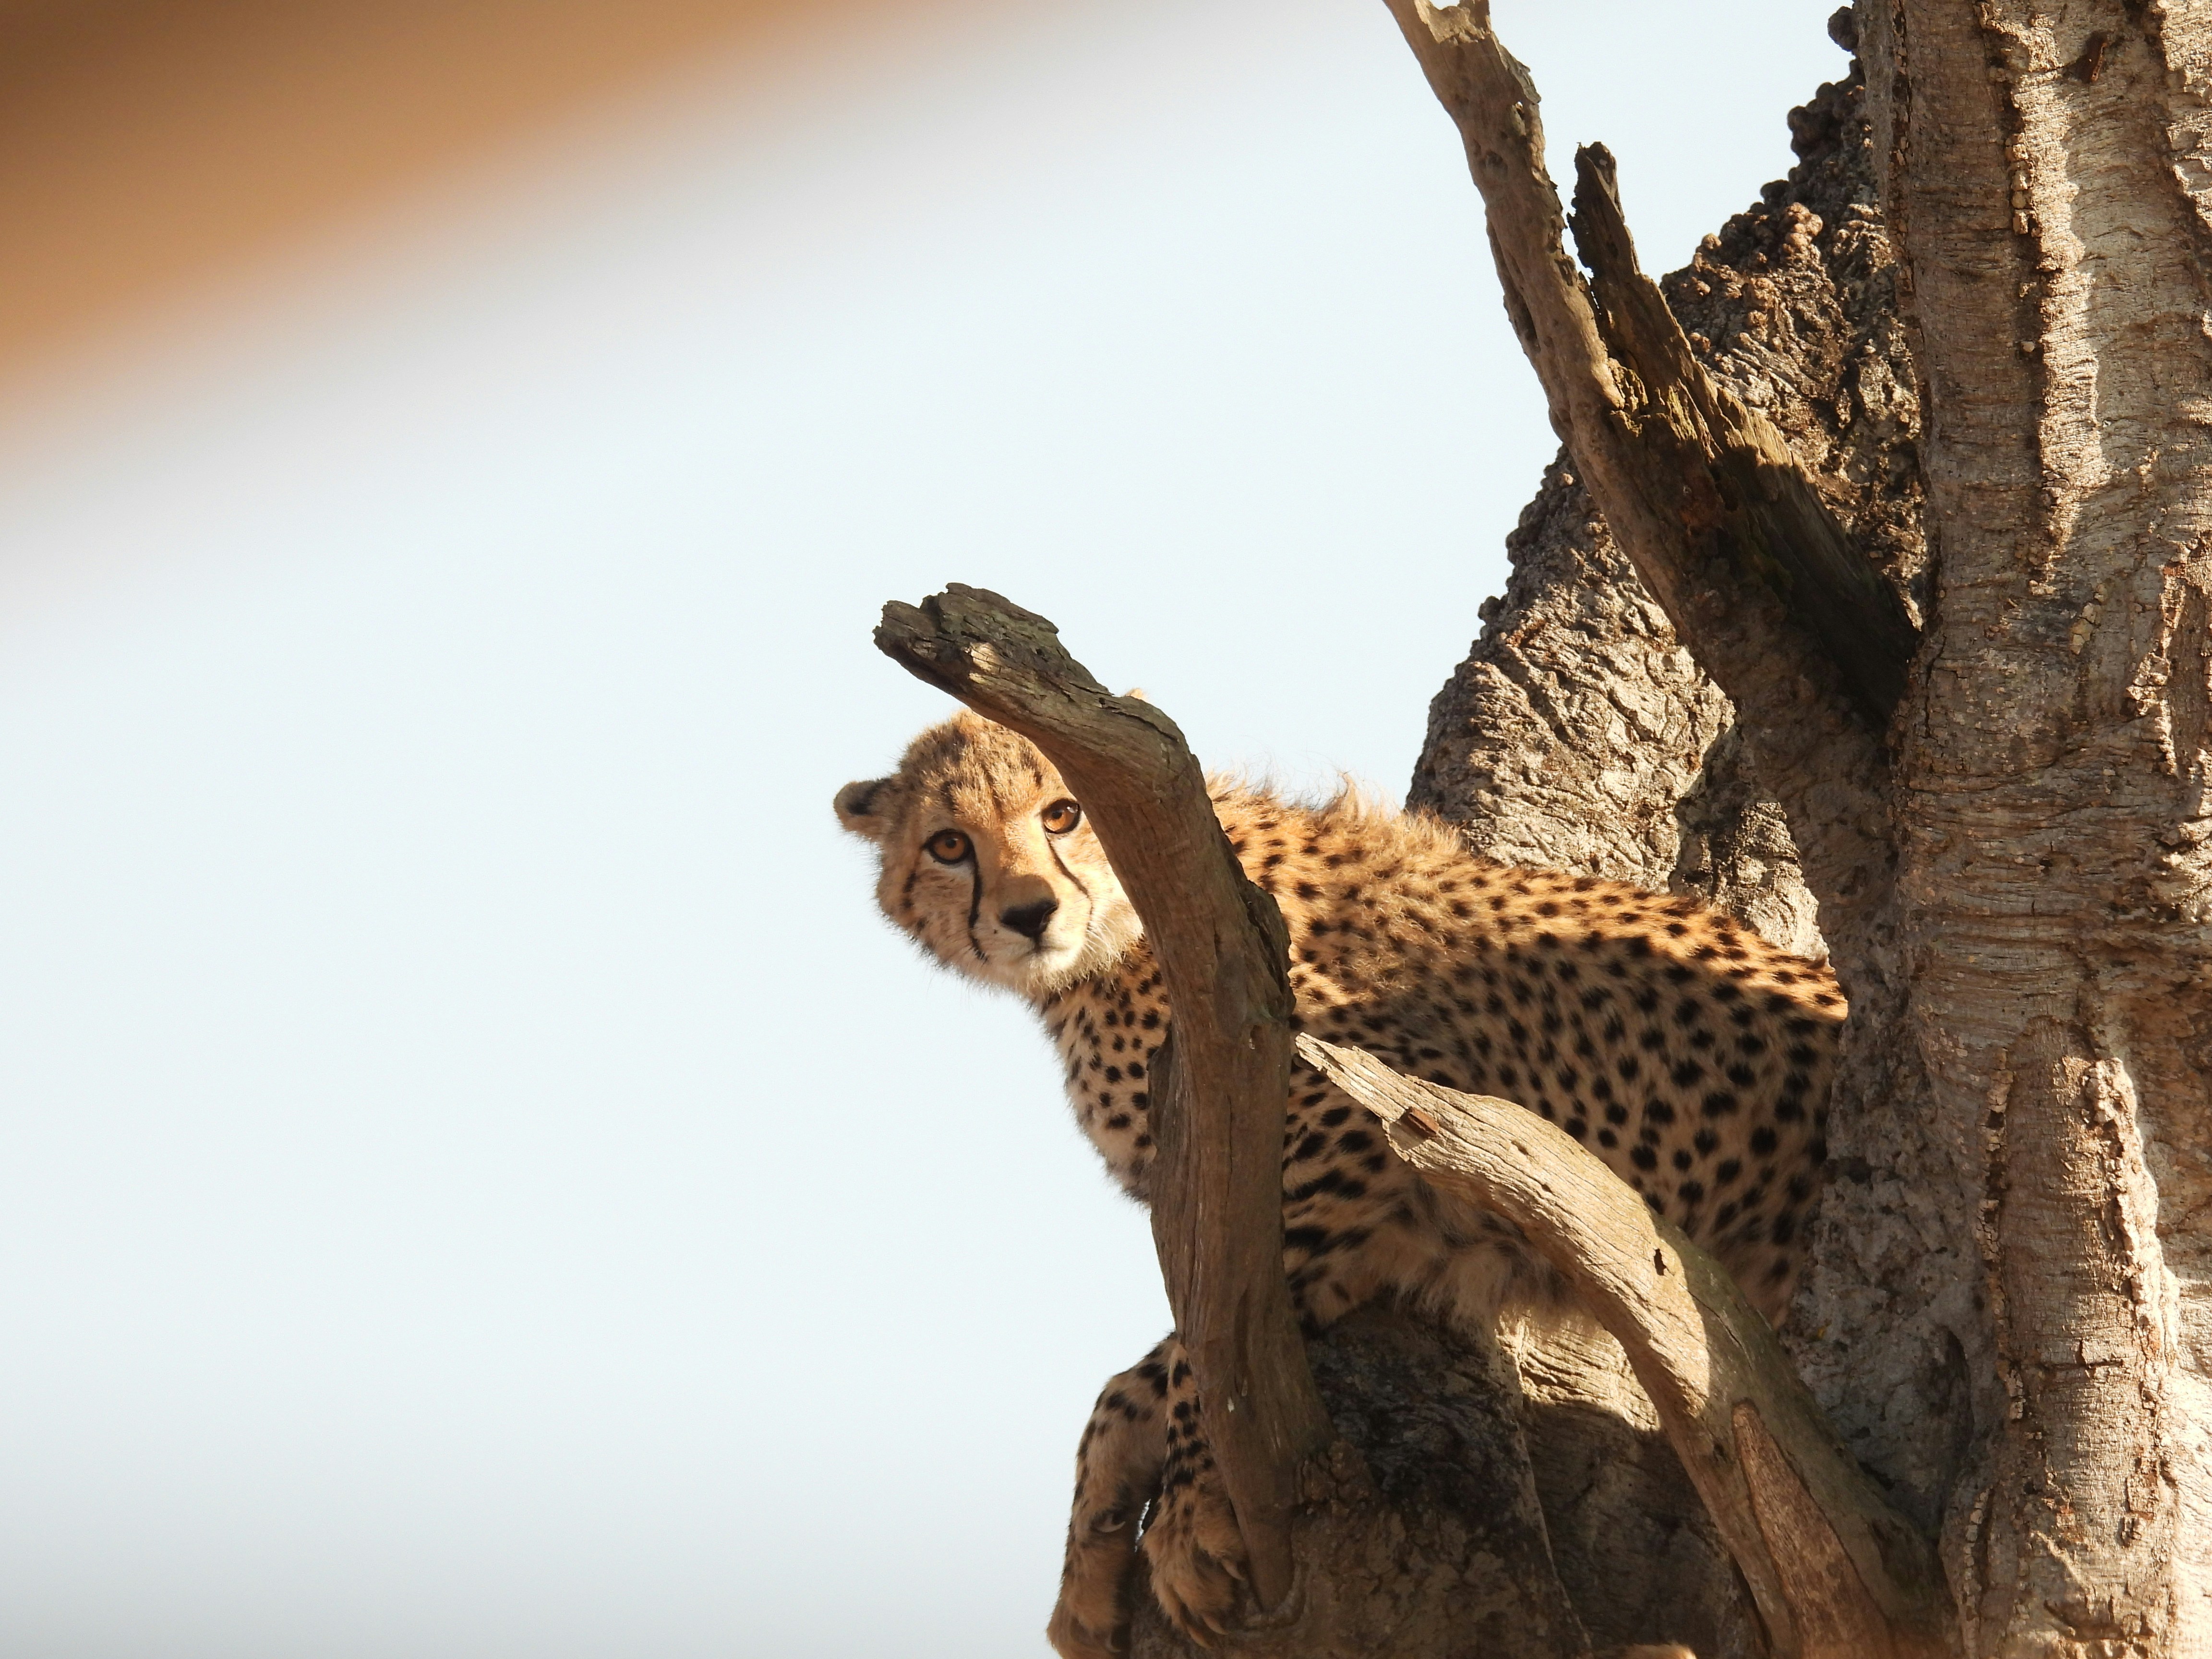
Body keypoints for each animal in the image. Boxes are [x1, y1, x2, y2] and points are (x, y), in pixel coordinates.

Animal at [835, 708, 1843, 1658]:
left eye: (1062, 813)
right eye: (949, 844)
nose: (1028, 912)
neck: (1118, 936)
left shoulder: (1384, 1119)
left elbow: (1208, 1361)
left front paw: (1189, 1516)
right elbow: (1137, 1376)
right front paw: (1088, 1562)